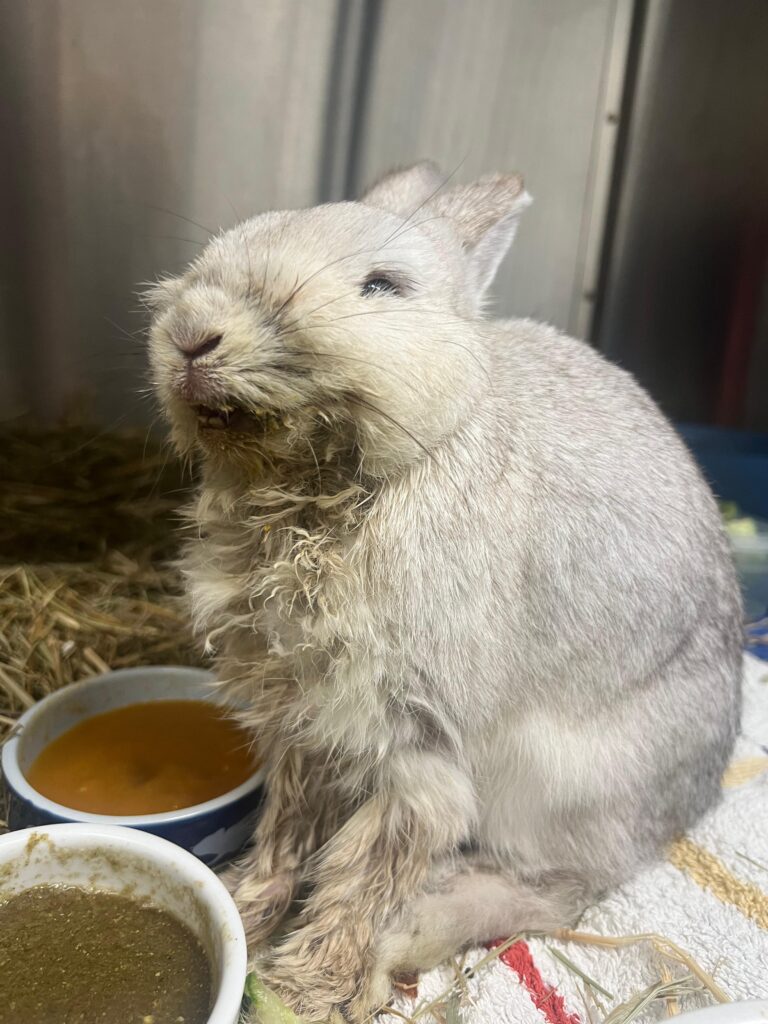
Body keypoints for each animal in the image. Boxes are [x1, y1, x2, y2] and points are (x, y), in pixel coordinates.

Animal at [145, 162, 743, 1023]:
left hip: (557, 789)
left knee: (557, 892)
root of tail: (693, 800)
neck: (322, 490)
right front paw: (246, 911)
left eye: (382, 286)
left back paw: (418, 929)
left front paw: (304, 987)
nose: (194, 332)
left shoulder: (416, 743)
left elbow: (370, 870)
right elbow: (287, 829)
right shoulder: (304, 725)